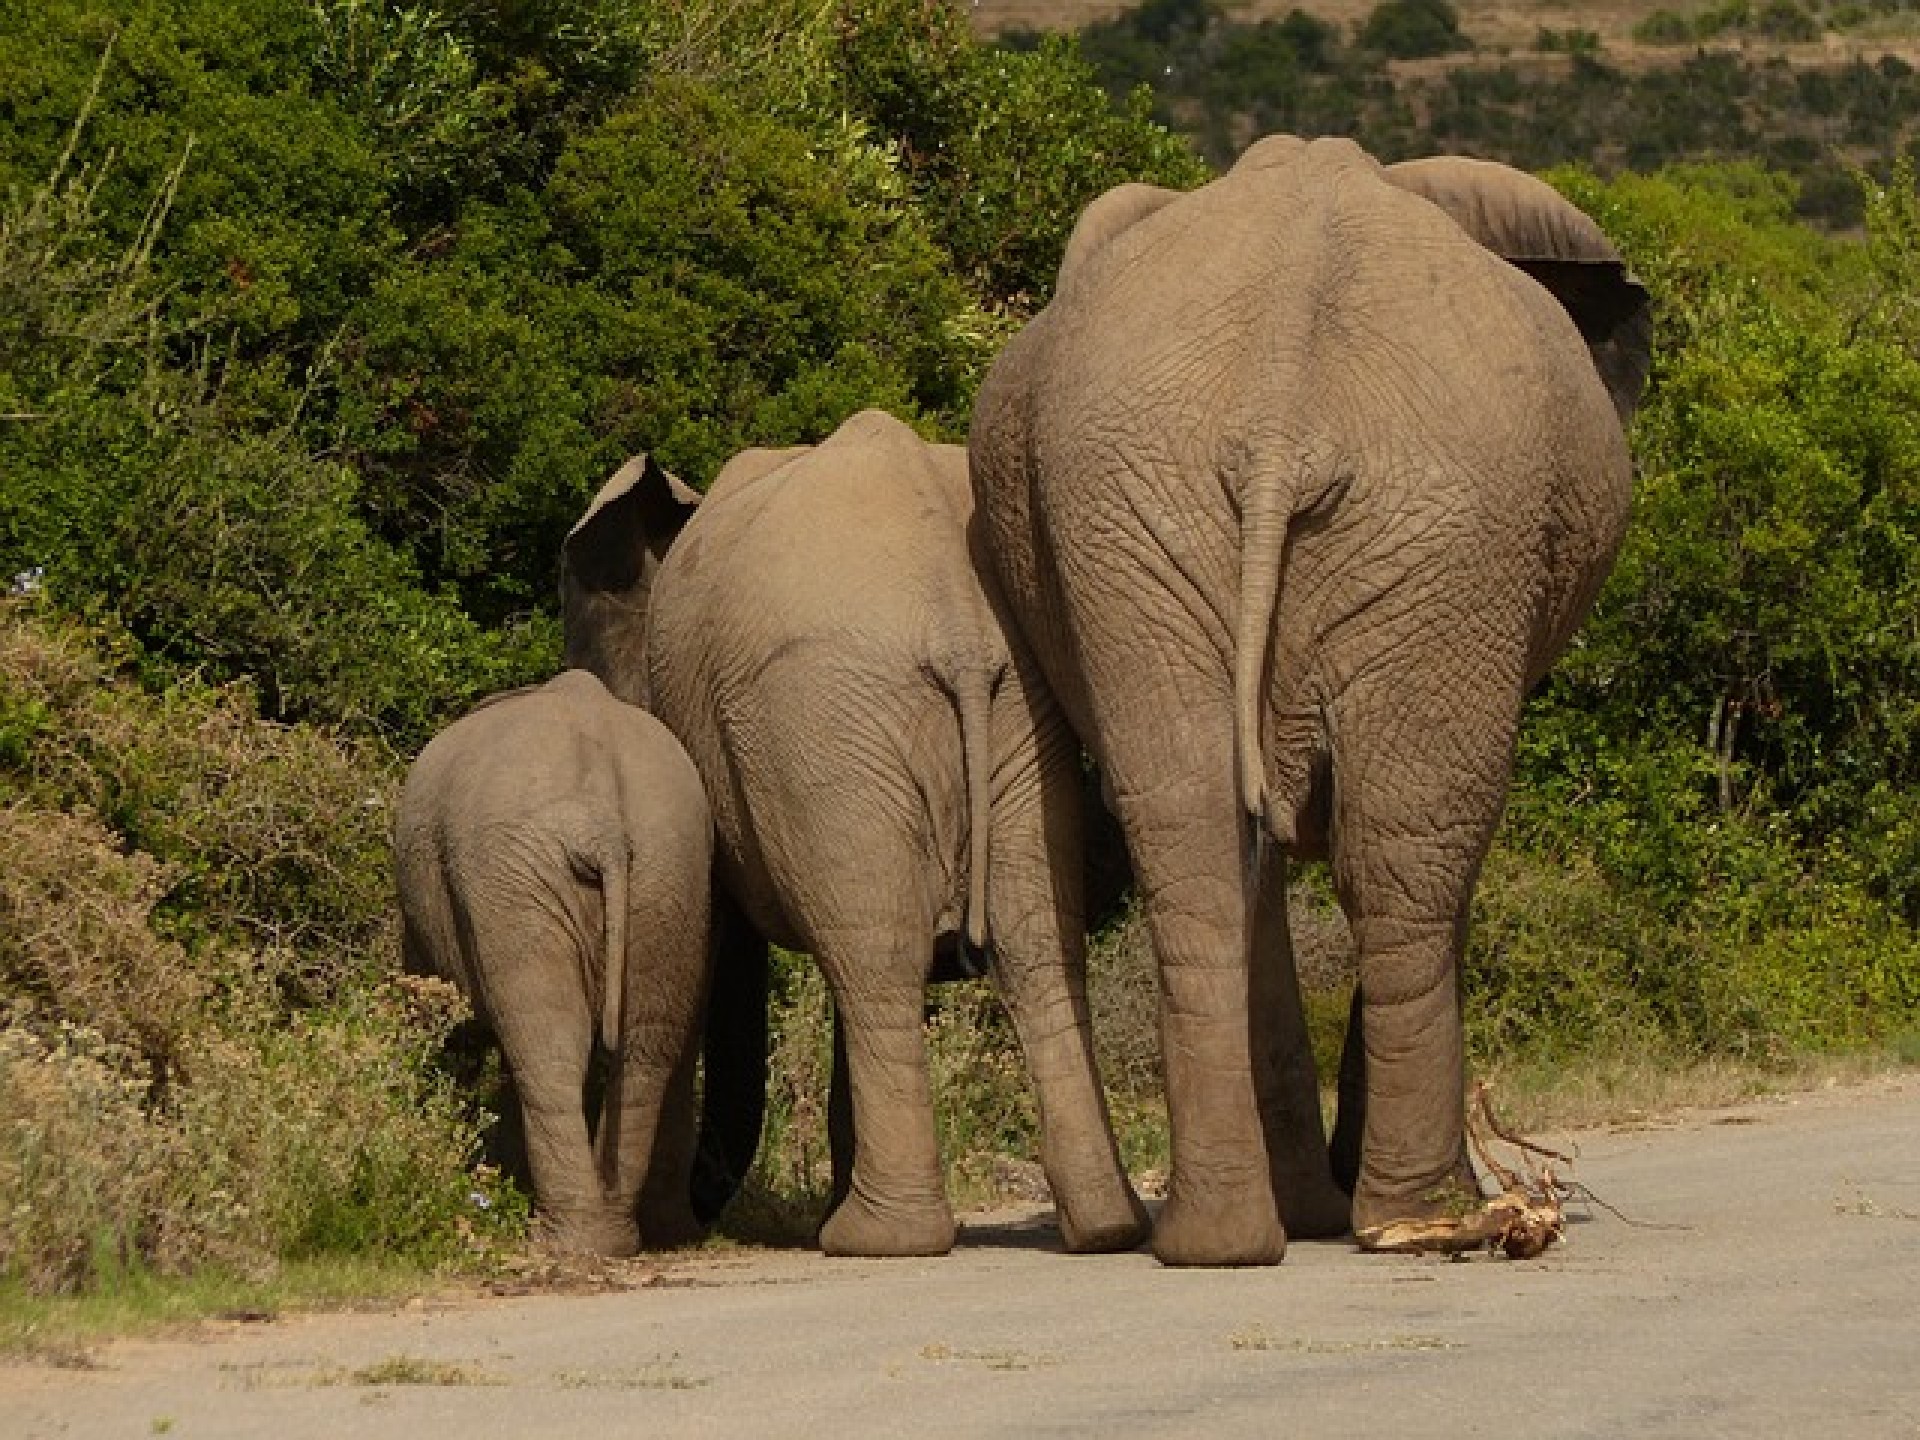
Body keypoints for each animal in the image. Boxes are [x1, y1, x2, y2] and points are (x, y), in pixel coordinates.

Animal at [393, 672, 718, 1259]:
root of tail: (604, 825)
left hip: (517, 880)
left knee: (548, 1046)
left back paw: (558, 1242)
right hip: (669, 870)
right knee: (643, 1048)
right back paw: (607, 1241)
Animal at [560, 410, 1144, 1259]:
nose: (708, 1210)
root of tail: (955, 615)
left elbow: (707, 949)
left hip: (818, 715)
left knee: (876, 959)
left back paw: (874, 1237)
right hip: (1008, 718)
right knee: (1028, 945)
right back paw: (1105, 1226)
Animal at [975, 132, 1651, 1259]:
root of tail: (1279, 416)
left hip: (1140, 514)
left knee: (1196, 830)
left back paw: (1222, 1240)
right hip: (1449, 538)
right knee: (1408, 848)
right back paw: (1424, 1213)